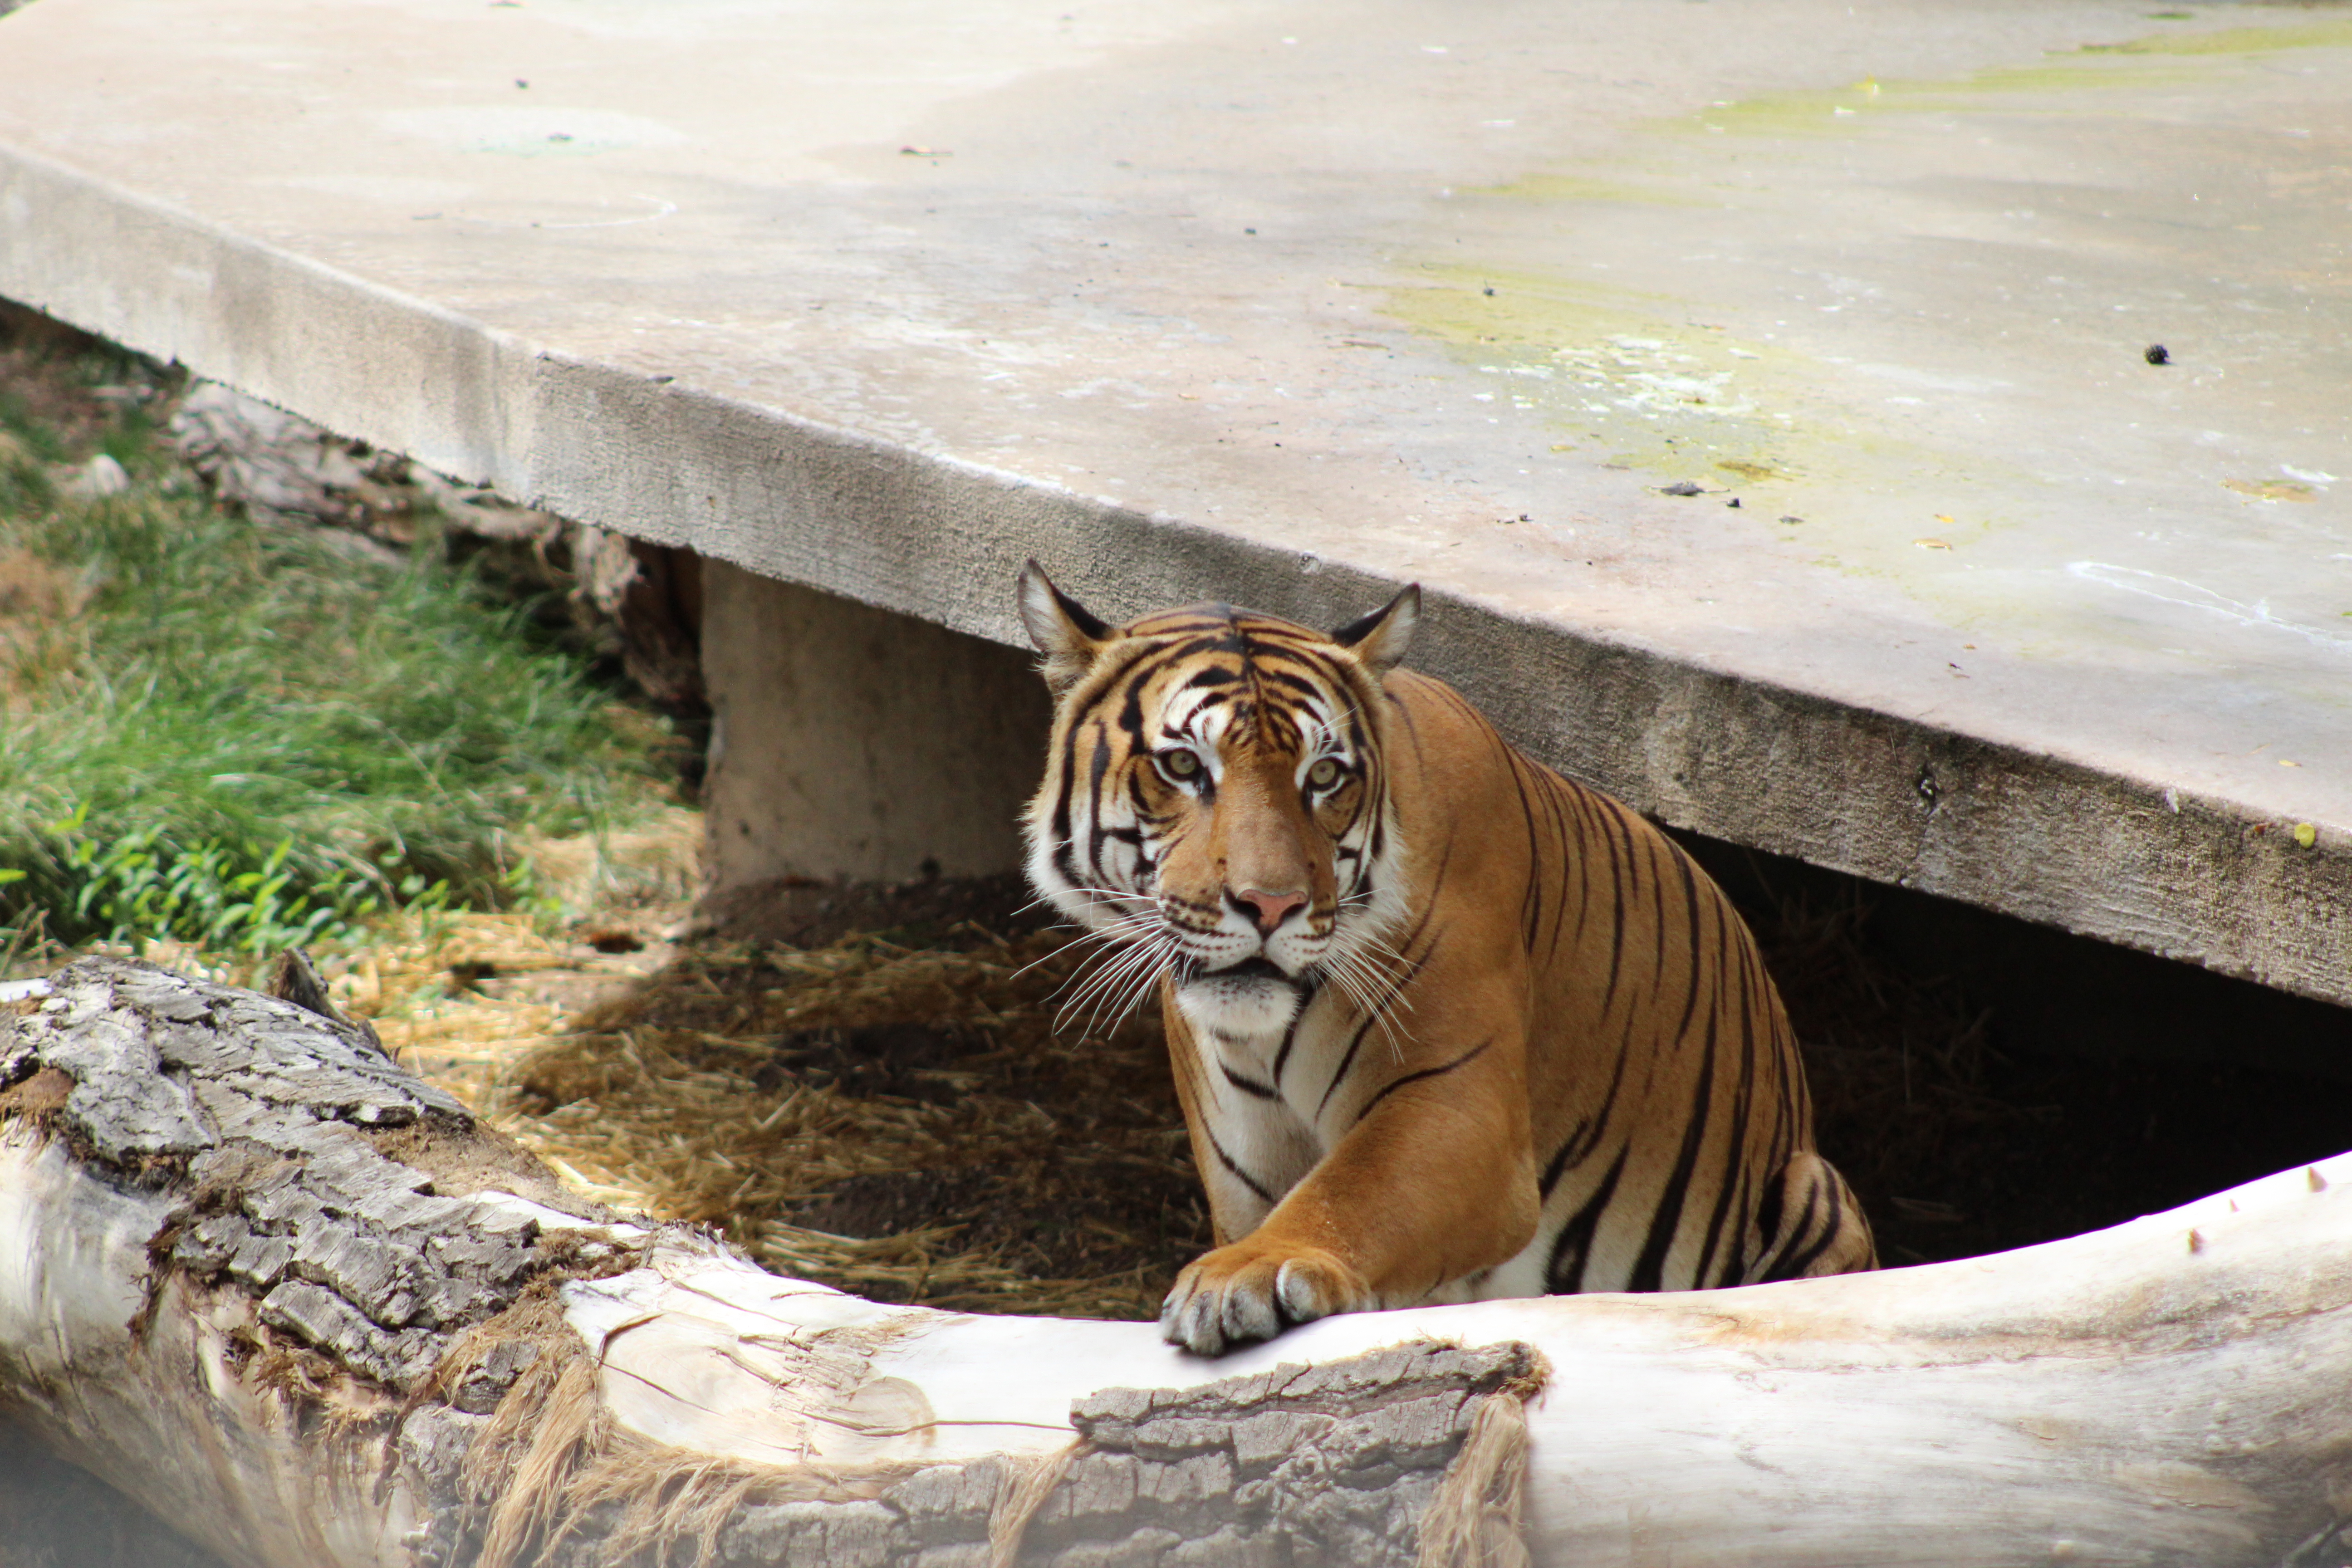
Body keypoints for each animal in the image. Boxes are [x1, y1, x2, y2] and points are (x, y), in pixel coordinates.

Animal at [1011, 566, 1872, 1363]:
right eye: (1185, 767)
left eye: (1323, 777)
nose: (1271, 905)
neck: (1259, 1040)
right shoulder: (1243, 1172)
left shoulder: (1459, 1106)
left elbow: (1350, 1192)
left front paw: (1245, 1276)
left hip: (1813, 1192)